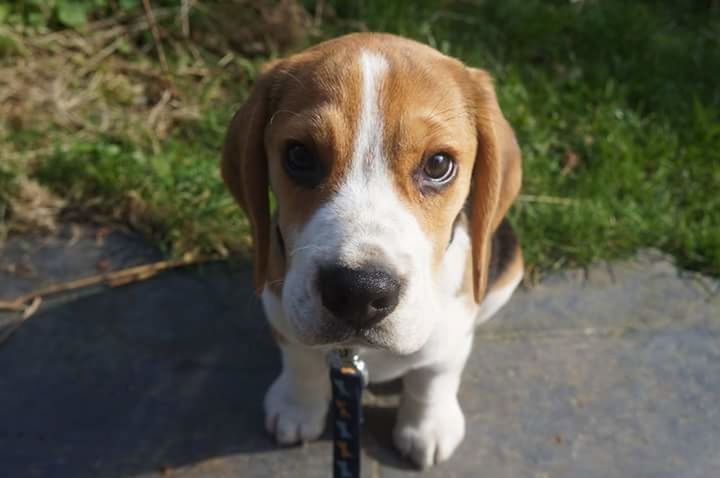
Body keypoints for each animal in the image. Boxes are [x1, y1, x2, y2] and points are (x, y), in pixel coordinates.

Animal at [221, 32, 524, 466]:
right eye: (299, 155)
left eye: (438, 164)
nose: (359, 293)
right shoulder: (281, 308)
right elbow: (300, 361)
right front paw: (297, 408)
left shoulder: (450, 334)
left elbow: (433, 379)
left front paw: (427, 428)